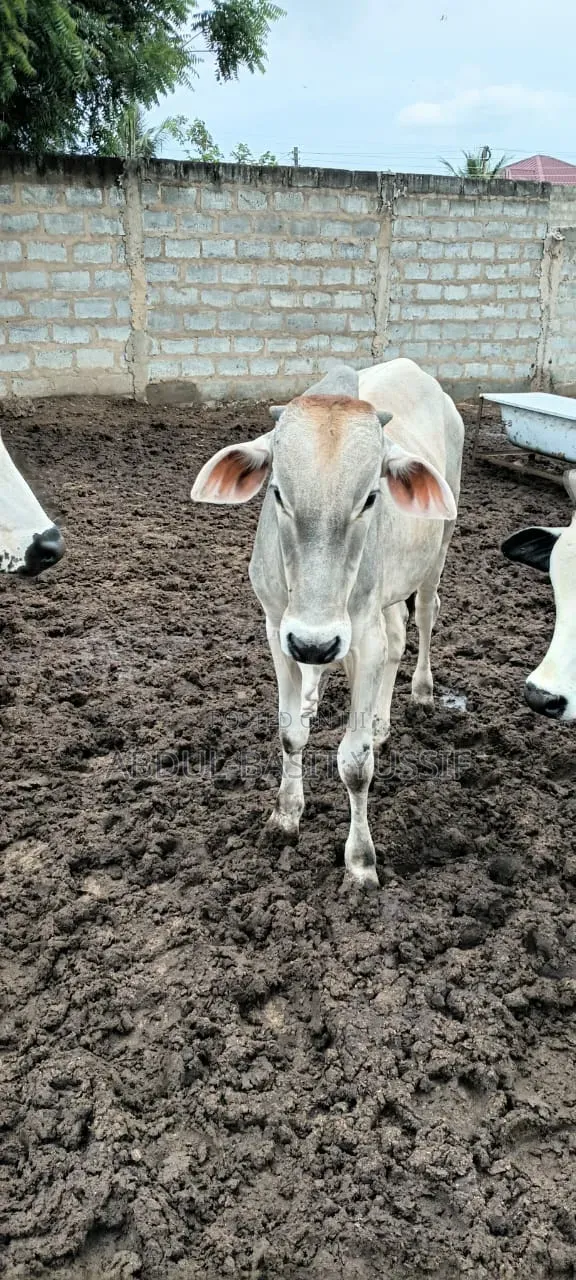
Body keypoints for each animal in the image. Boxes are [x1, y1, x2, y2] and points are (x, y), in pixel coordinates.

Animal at [191, 359, 464, 889]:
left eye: (371, 498)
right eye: (278, 493)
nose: (314, 643)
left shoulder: (359, 638)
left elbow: (355, 764)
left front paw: (360, 862)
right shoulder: (278, 627)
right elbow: (290, 732)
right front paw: (285, 816)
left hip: (437, 549)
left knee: (423, 616)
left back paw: (421, 691)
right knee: (397, 633)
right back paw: (370, 718)